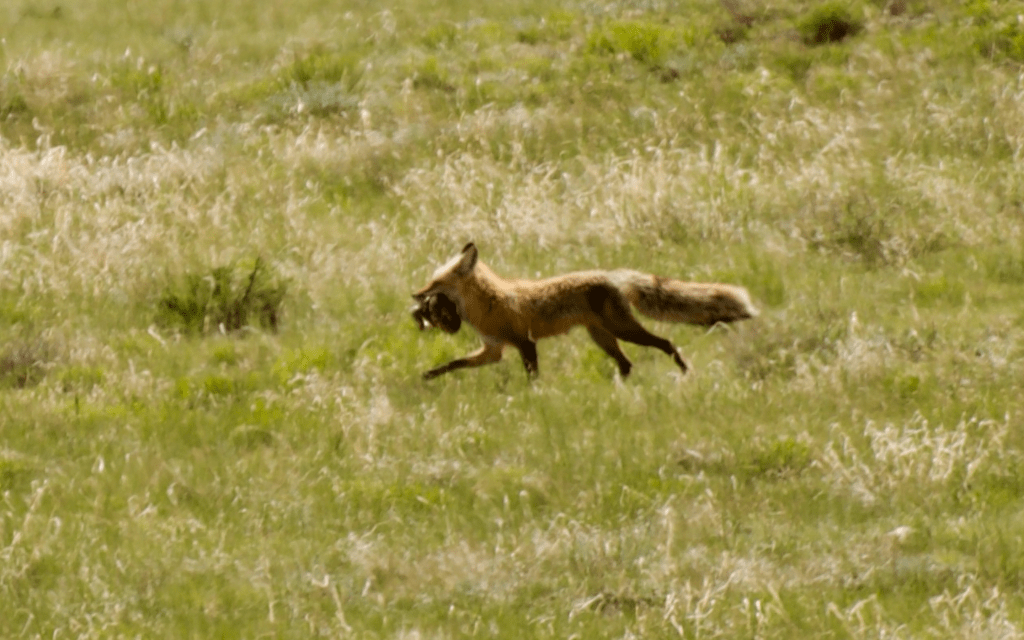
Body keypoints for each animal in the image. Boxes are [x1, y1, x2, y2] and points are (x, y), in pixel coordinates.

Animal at [412, 243, 758, 380]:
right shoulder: (493, 350)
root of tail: (612, 275)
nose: (414, 295)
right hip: (602, 337)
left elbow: (532, 377)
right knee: (627, 364)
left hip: (622, 331)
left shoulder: (525, 343)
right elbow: (453, 363)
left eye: (435, 283)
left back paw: (684, 372)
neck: (490, 302)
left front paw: (534, 398)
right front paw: (428, 376)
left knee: (666, 344)